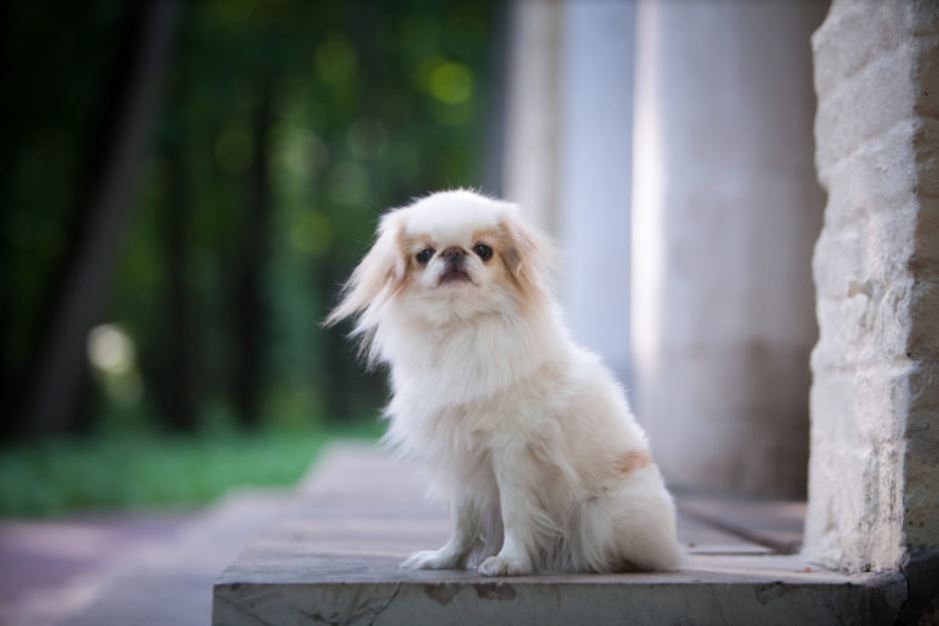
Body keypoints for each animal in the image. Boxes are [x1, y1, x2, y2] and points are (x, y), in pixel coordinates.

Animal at [328, 188, 684, 572]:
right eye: (424, 254)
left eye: (484, 250)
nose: (454, 252)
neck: (460, 328)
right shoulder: (460, 453)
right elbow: (462, 521)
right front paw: (446, 559)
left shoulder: (511, 451)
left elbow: (514, 511)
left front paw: (508, 561)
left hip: (604, 516)